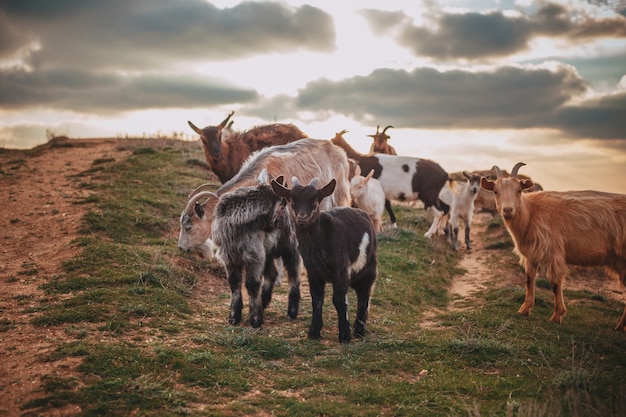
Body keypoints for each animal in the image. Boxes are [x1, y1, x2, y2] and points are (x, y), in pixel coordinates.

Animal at [210, 173, 300, 328]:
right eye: (281, 205)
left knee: (293, 273)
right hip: (267, 253)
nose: (278, 225)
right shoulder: (230, 257)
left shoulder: (254, 256)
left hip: (289, 245)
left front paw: (256, 320)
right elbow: (234, 283)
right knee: (272, 273)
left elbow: (251, 283)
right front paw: (234, 316)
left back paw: (292, 310)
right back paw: (264, 301)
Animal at [270, 176, 376, 342]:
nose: (302, 217)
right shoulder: (313, 273)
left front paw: (344, 335)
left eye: (315, 201)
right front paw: (314, 332)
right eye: (292, 201)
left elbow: (339, 300)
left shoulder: (341, 271)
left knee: (364, 296)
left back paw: (359, 330)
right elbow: (317, 299)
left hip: (369, 269)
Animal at [480, 162, 620, 328]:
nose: (508, 210)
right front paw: (524, 309)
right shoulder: (532, 254)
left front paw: (557, 316)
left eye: (519, 190)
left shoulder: (553, 252)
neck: (531, 214)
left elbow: (554, 282)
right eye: (495, 191)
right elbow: (529, 278)